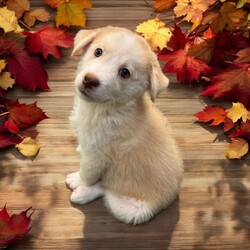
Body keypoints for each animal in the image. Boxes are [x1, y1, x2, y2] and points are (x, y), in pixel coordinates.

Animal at [66, 25, 184, 225]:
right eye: (98, 52)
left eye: (125, 72)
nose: (89, 80)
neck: (104, 109)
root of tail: (172, 196)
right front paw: (80, 148)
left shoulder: (97, 155)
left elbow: (87, 173)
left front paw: (79, 179)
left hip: (128, 209)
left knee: (105, 187)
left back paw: (83, 192)